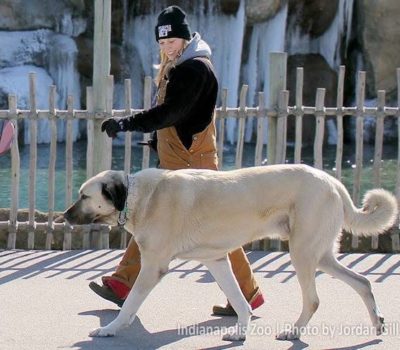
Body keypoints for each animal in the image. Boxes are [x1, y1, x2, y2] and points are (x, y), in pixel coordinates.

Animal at [63, 165, 396, 342]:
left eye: (84, 196)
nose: (64, 216)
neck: (139, 197)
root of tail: (333, 181)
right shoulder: (216, 261)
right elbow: (238, 299)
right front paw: (240, 332)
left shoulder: (153, 266)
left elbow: (130, 302)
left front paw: (111, 328)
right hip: (322, 256)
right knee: (363, 282)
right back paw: (377, 321)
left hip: (302, 253)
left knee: (313, 300)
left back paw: (293, 332)